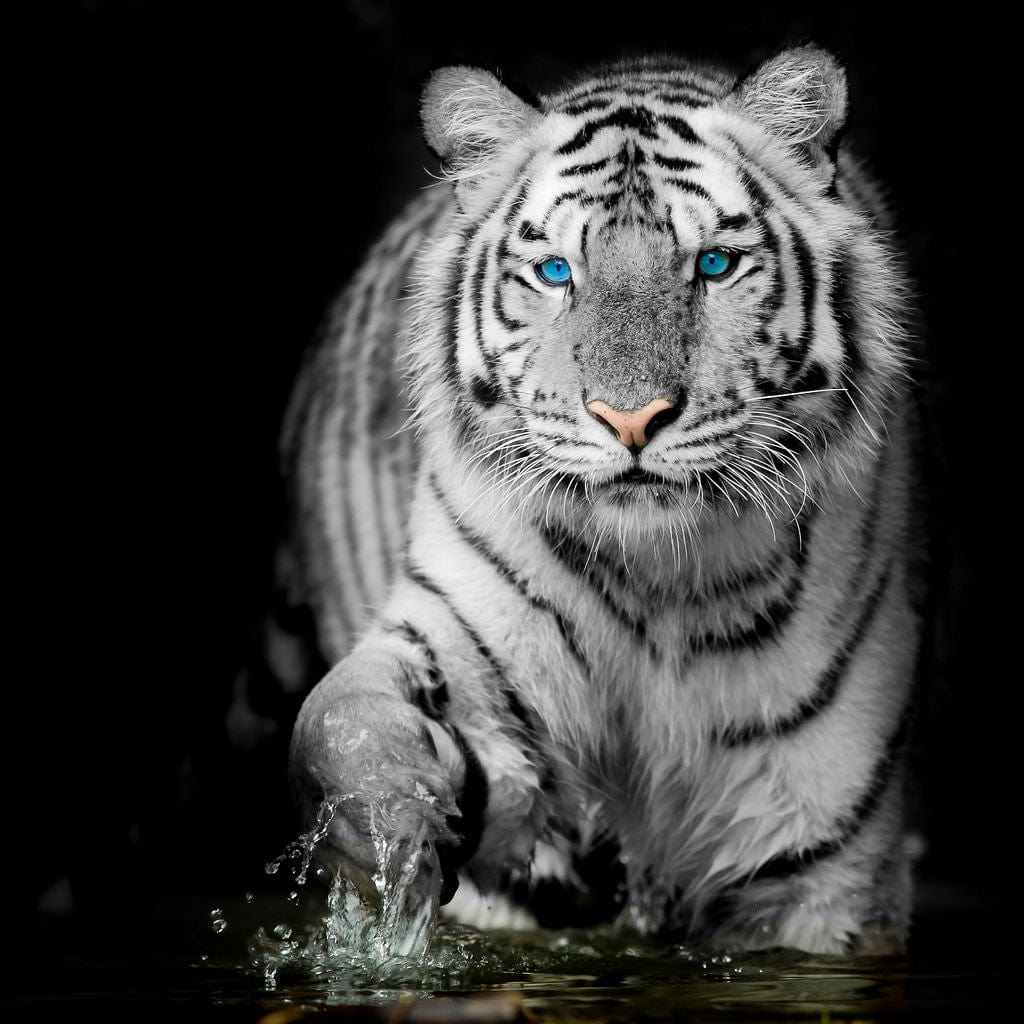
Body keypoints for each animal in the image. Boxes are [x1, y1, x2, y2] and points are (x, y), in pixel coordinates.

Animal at [268, 44, 925, 955]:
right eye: (556, 273)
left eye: (713, 265)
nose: (632, 419)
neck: (660, 583)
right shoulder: (463, 640)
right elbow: (342, 719)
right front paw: (389, 830)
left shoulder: (822, 864)